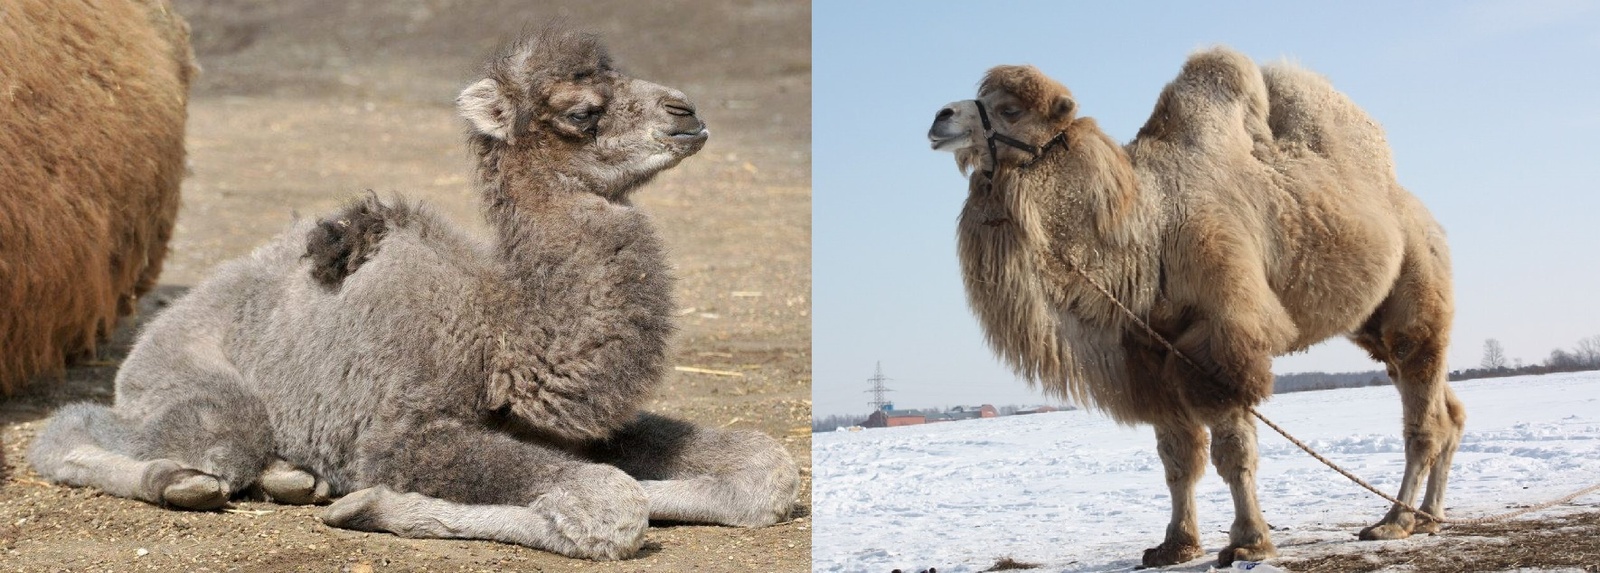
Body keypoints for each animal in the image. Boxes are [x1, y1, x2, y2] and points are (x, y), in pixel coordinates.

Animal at [25, 28, 800, 560]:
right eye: (582, 111)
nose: (686, 112)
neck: (506, 331)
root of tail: (156, 329)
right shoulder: (407, 432)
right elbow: (608, 501)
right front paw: (371, 503)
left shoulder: (569, 427)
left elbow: (766, 467)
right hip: (194, 391)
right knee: (102, 431)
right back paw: (177, 479)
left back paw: (292, 479)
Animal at [928, 47, 1465, 566]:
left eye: (1010, 110)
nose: (940, 117)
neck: (1147, 226)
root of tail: (1422, 216)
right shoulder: (1151, 354)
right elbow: (1177, 459)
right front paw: (1174, 545)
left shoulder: (1220, 336)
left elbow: (1233, 450)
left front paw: (1249, 541)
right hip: (1372, 324)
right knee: (1446, 409)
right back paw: (1429, 517)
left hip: (1420, 288)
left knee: (1423, 414)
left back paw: (1393, 522)